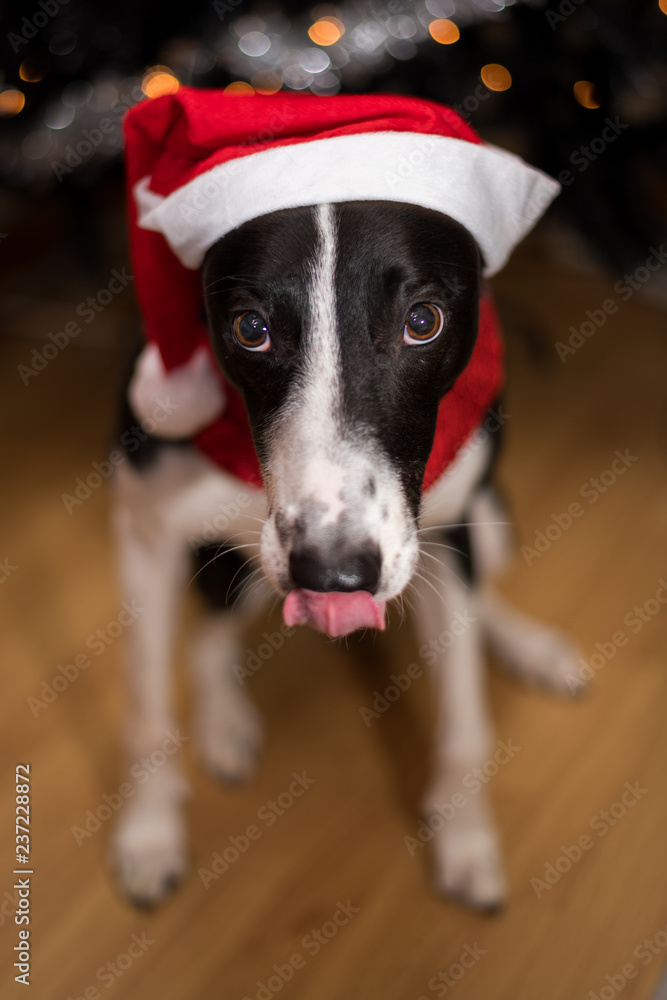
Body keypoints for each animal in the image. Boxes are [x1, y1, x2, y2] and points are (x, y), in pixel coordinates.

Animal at [107, 195, 580, 916]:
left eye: (423, 321)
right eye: (250, 329)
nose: (333, 575)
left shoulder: (444, 530)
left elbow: (465, 721)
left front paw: (466, 840)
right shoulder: (144, 530)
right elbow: (146, 710)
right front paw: (150, 835)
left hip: (484, 516)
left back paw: (530, 647)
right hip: (238, 567)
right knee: (207, 634)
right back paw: (223, 723)